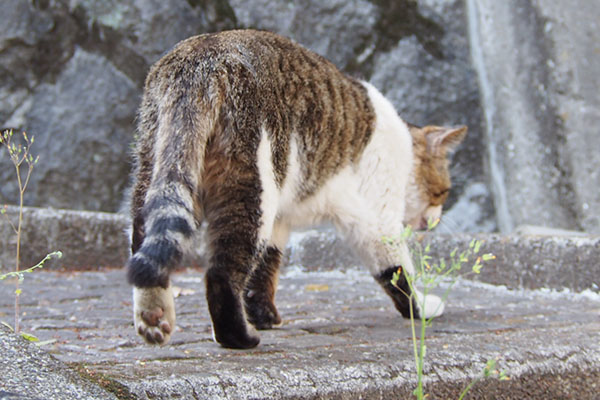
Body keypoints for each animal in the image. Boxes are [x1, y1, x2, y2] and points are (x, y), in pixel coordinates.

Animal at [125, 29, 464, 348]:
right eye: (443, 192)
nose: (437, 218)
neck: (404, 144)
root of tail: (203, 58)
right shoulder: (377, 219)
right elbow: (397, 271)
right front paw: (421, 308)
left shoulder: (279, 221)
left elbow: (265, 268)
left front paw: (264, 315)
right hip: (252, 189)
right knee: (220, 273)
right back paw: (237, 338)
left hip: (158, 170)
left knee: (145, 245)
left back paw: (153, 317)